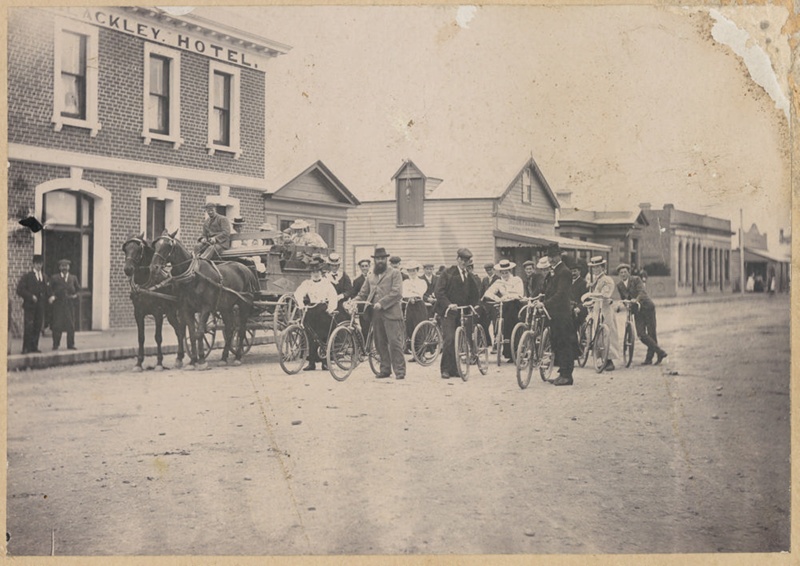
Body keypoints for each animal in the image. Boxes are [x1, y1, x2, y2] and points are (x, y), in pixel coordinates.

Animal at [122, 235, 186, 372]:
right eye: (125, 249)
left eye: (138, 249)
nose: (128, 269)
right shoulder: (138, 313)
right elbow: (141, 338)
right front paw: (138, 363)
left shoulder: (158, 313)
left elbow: (158, 337)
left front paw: (159, 363)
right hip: (171, 313)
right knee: (179, 331)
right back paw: (180, 357)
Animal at [146, 232, 253, 370]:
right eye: (155, 245)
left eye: (168, 245)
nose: (154, 267)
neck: (192, 275)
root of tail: (245, 268)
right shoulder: (186, 309)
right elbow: (192, 334)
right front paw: (193, 361)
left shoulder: (205, 308)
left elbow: (200, 332)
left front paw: (201, 360)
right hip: (226, 307)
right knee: (230, 329)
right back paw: (223, 358)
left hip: (243, 305)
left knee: (242, 330)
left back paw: (238, 357)